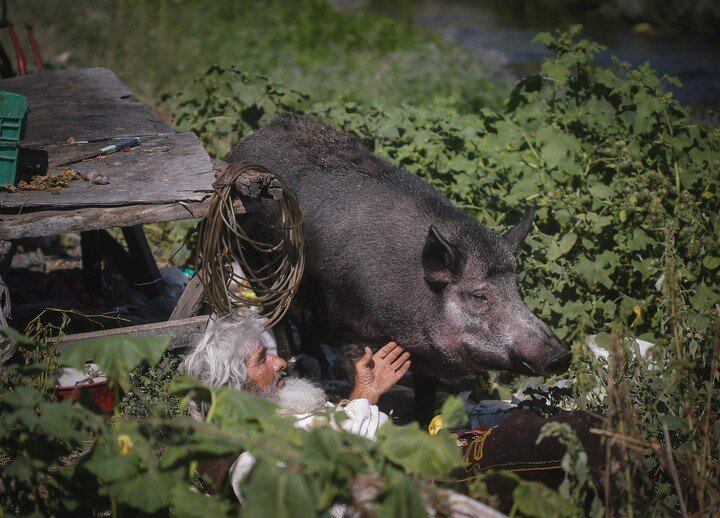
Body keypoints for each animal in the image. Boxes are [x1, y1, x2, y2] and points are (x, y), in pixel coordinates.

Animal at [228, 114, 572, 422]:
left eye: (516, 289)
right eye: (479, 296)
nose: (562, 354)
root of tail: (246, 144)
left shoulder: (428, 355)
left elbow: (426, 397)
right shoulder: (353, 333)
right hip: (257, 265)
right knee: (281, 324)